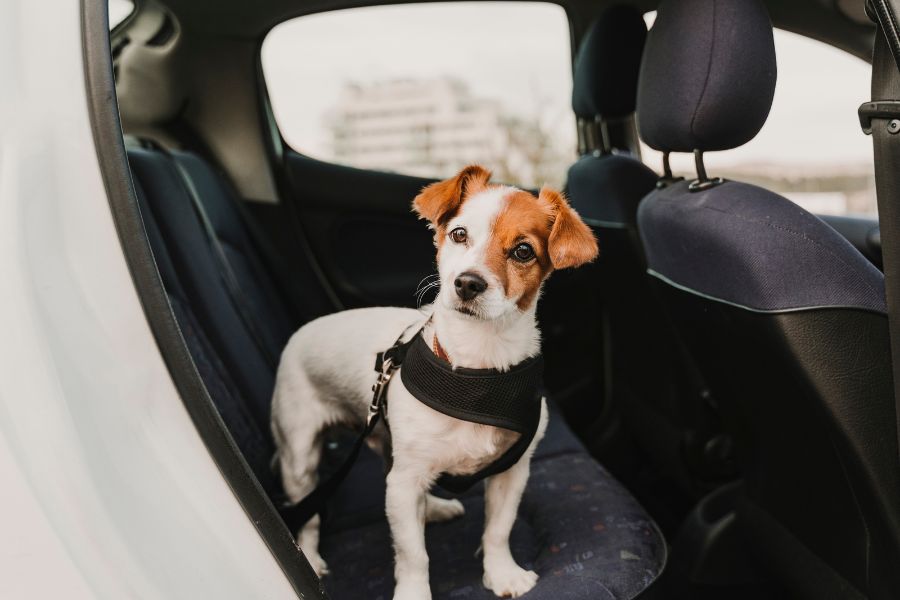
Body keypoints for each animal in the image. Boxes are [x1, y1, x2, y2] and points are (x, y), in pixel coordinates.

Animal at [270, 165, 600, 600]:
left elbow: (498, 529)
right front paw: (414, 592)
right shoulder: (405, 481)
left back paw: (435, 509)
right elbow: (413, 555)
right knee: (307, 516)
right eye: (459, 234)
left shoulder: (511, 472)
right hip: (300, 458)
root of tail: (300, 333)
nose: (468, 283)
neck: (475, 369)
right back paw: (310, 557)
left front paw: (502, 574)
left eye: (523, 251)